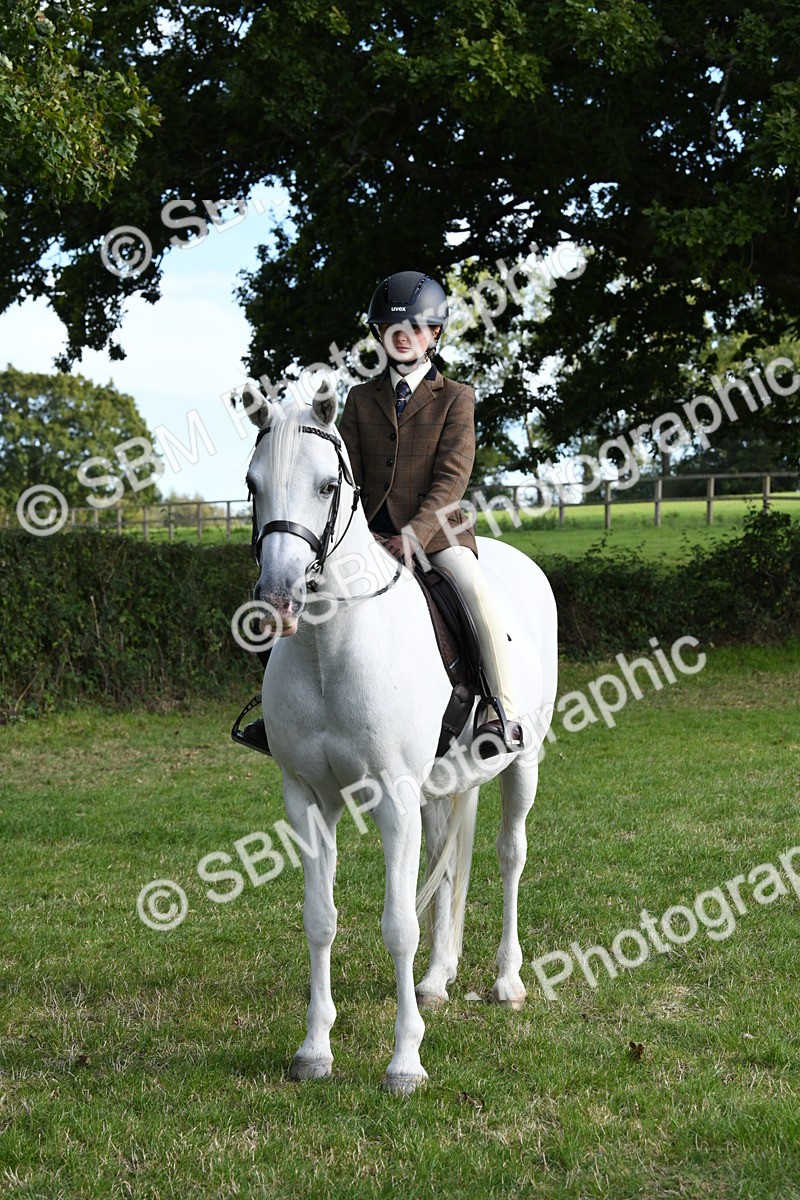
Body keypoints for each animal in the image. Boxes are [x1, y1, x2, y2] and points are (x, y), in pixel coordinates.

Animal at [239, 381, 558, 1094]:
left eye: (328, 484)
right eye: (251, 485)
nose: (279, 600)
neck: (330, 648)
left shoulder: (393, 797)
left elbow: (398, 926)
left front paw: (405, 1061)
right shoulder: (306, 799)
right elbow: (320, 919)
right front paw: (314, 1049)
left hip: (521, 765)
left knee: (510, 856)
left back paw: (507, 981)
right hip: (436, 789)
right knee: (447, 860)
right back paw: (438, 980)